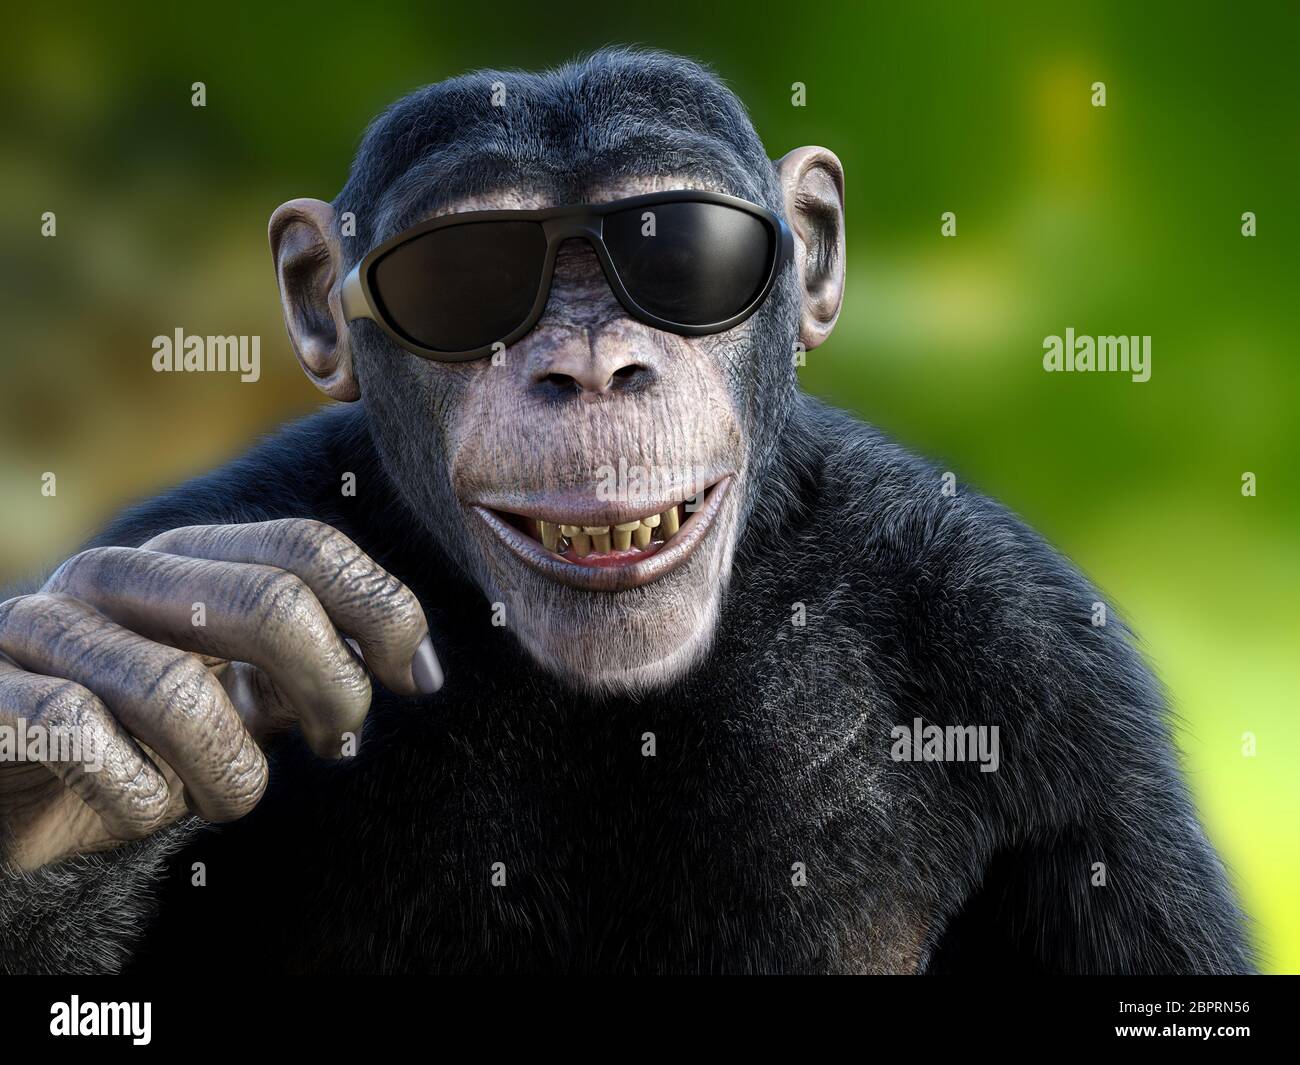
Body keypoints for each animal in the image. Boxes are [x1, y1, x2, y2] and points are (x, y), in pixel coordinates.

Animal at [0, 47, 1252, 974]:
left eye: (679, 246)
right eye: (458, 272)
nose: (591, 363)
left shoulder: (1036, 658)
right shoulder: (209, 512)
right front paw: (101, 700)